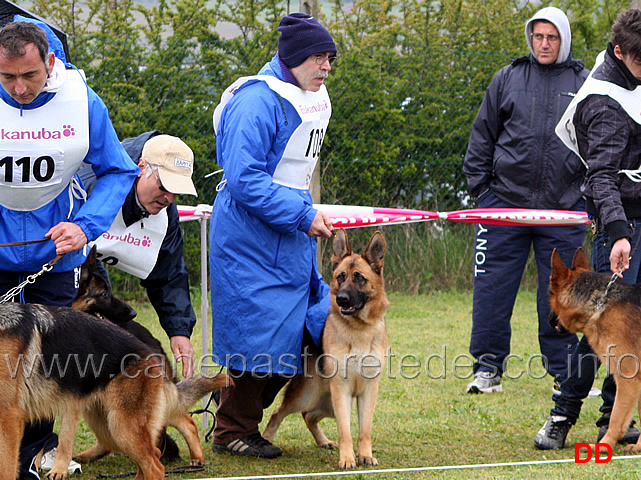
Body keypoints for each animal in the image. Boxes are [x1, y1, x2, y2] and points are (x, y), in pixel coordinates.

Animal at [262, 229, 388, 468]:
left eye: (359, 277)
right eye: (340, 277)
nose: (341, 299)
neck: (358, 330)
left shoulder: (369, 390)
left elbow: (364, 430)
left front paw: (365, 455)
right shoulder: (342, 390)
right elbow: (345, 431)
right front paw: (347, 459)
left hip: (328, 403)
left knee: (308, 416)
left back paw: (323, 442)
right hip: (308, 396)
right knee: (278, 414)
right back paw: (265, 440)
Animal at [544, 248, 640, 454]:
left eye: (549, 294)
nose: (548, 320)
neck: (599, 303)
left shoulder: (628, 379)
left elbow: (616, 418)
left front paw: (604, 445)